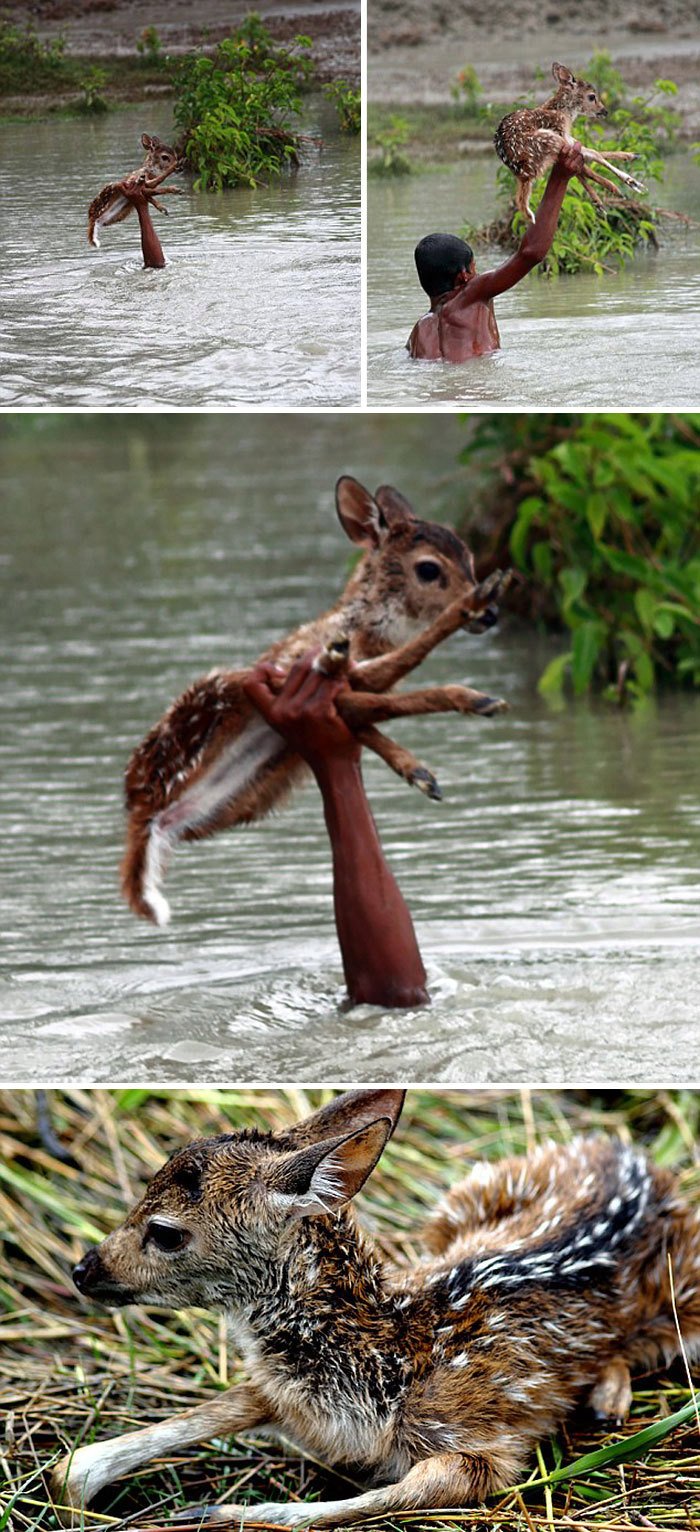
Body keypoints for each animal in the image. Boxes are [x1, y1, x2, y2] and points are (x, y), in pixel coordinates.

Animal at [53, 1090, 698, 1519]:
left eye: (165, 1232)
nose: (83, 1269)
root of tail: (638, 1157)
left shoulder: (483, 1443)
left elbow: (396, 1494)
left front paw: (213, 1514)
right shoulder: (281, 1393)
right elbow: (204, 1414)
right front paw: (73, 1483)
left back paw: (607, 1402)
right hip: (456, 1205)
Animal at [122, 477, 511, 925]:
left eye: (469, 556)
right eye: (429, 568)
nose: (491, 614)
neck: (362, 632)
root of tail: (144, 812)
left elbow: (373, 710)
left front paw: (420, 771)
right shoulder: (295, 669)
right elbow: (382, 691)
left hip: (253, 792)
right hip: (219, 692)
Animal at [490, 63, 643, 222]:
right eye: (592, 96)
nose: (605, 111)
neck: (562, 113)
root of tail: (524, 173)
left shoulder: (566, 136)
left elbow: (591, 152)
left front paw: (631, 157)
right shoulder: (559, 131)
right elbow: (593, 154)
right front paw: (631, 181)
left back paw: (603, 197)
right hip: (548, 139)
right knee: (583, 162)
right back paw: (616, 188)